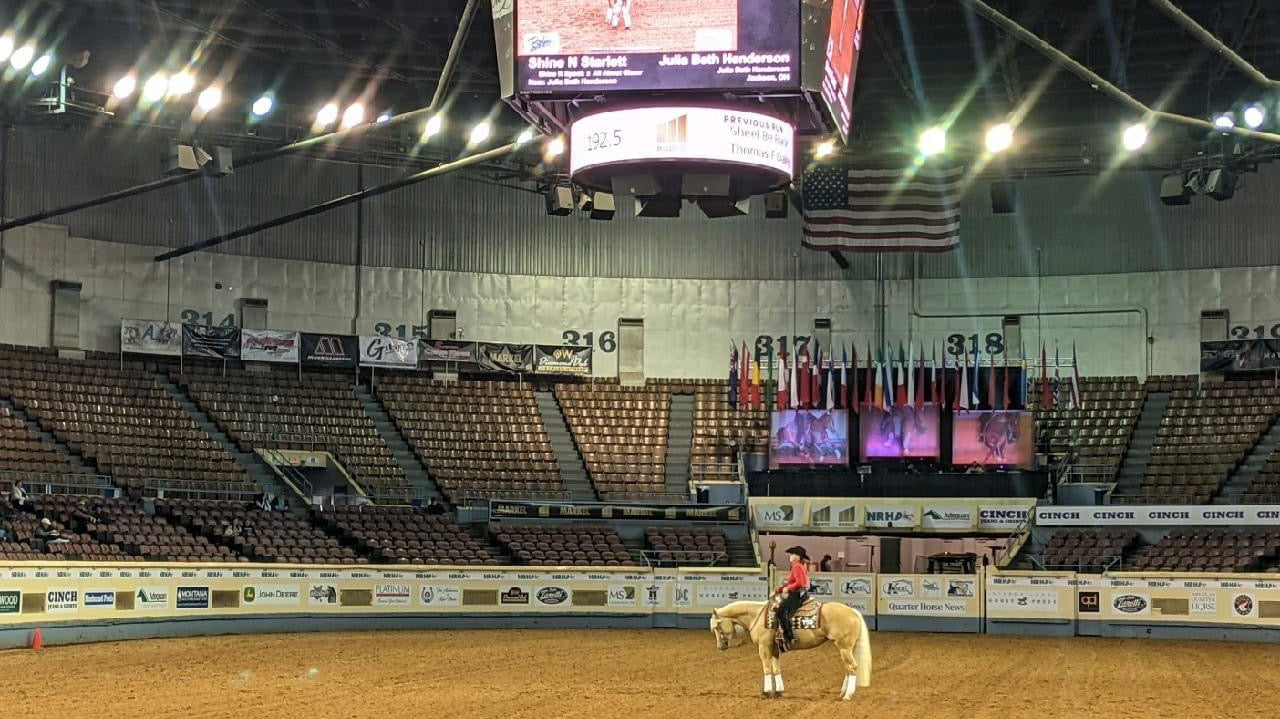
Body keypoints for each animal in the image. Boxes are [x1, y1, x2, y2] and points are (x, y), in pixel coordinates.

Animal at [710, 599, 872, 700]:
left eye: (717, 626)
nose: (720, 647)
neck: (756, 615)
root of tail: (852, 611)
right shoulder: (774, 650)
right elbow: (776, 669)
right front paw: (778, 692)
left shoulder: (764, 648)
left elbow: (767, 669)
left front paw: (766, 692)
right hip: (846, 648)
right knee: (849, 668)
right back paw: (843, 693)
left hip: (844, 647)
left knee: (852, 667)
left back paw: (847, 695)